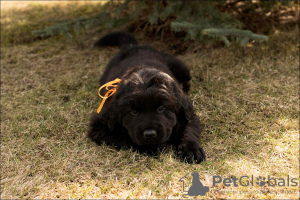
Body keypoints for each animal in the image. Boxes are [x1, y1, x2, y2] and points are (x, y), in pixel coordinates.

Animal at [87, 30, 204, 162]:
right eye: (133, 112)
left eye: (161, 108)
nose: (150, 134)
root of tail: (133, 46)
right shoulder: (99, 126)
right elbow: (126, 138)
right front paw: (154, 147)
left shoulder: (187, 113)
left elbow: (189, 130)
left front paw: (191, 150)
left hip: (180, 68)